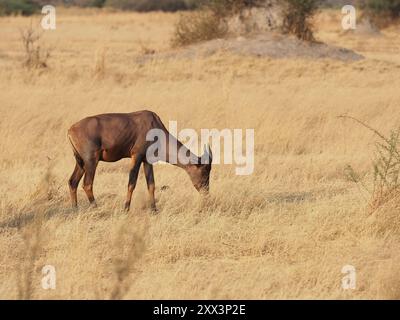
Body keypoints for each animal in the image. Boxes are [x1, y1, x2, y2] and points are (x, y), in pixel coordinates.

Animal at [67, 110, 212, 212]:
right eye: (205, 171)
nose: (206, 194)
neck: (153, 125)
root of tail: (70, 130)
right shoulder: (136, 156)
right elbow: (132, 182)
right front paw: (126, 208)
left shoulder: (147, 160)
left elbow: (151, 184)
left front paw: (154, 210)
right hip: (91, 160)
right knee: (87, 184)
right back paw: (96, 208)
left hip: (80, 163)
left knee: (72, 182)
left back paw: (75, 209)